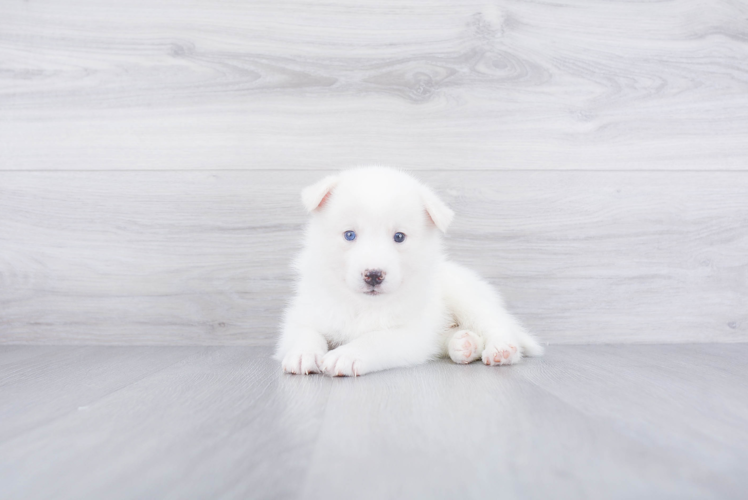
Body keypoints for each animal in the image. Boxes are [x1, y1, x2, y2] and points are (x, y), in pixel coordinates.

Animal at [274, 168, 544, 376]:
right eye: (349, 235)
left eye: (399, 237)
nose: (374, 274)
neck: (363, 306)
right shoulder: (305, 312)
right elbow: (305, 332)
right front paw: (302, 354)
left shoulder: (409, 333)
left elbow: (375, 339)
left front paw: (347, 355)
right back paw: (464, 344)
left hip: (466, 296)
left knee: (495, 322)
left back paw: (501, 349)